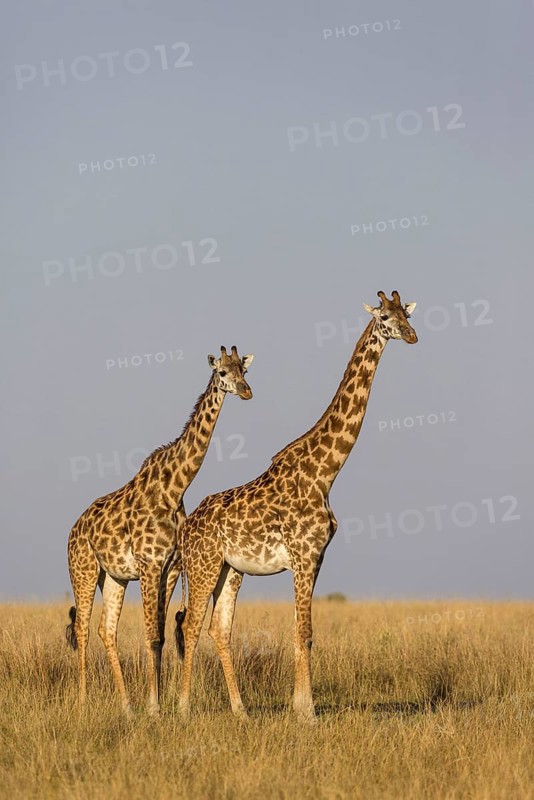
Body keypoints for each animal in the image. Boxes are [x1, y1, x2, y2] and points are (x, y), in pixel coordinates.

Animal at [66, 345, 254, 715]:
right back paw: (81, 702)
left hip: (114, 576)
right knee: (81, 629)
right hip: (83, 569)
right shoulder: (150, 564)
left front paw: (159, 701)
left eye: (245, 370)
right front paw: (153, 707)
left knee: (105, 630)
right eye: (222, 372)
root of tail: (73, 530)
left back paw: (125, 705)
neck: (174, 487)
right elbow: (152, 635)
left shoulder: (170, 568)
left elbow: (163, 635)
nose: (246, 392)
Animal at [176, 291, 418, 722]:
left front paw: (300, 705)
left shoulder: (316, 558)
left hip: (230, 570)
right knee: (190, 625)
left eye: (407, 315)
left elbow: (302, 631)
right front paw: (307, 711)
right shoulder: (303, 555)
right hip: (202, 565)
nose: (411, 335)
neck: (326, 472)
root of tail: (185, 528)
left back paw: (241, 710)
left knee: (218, 629)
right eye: (386, 317)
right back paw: (184, 708)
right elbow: (303, 632)